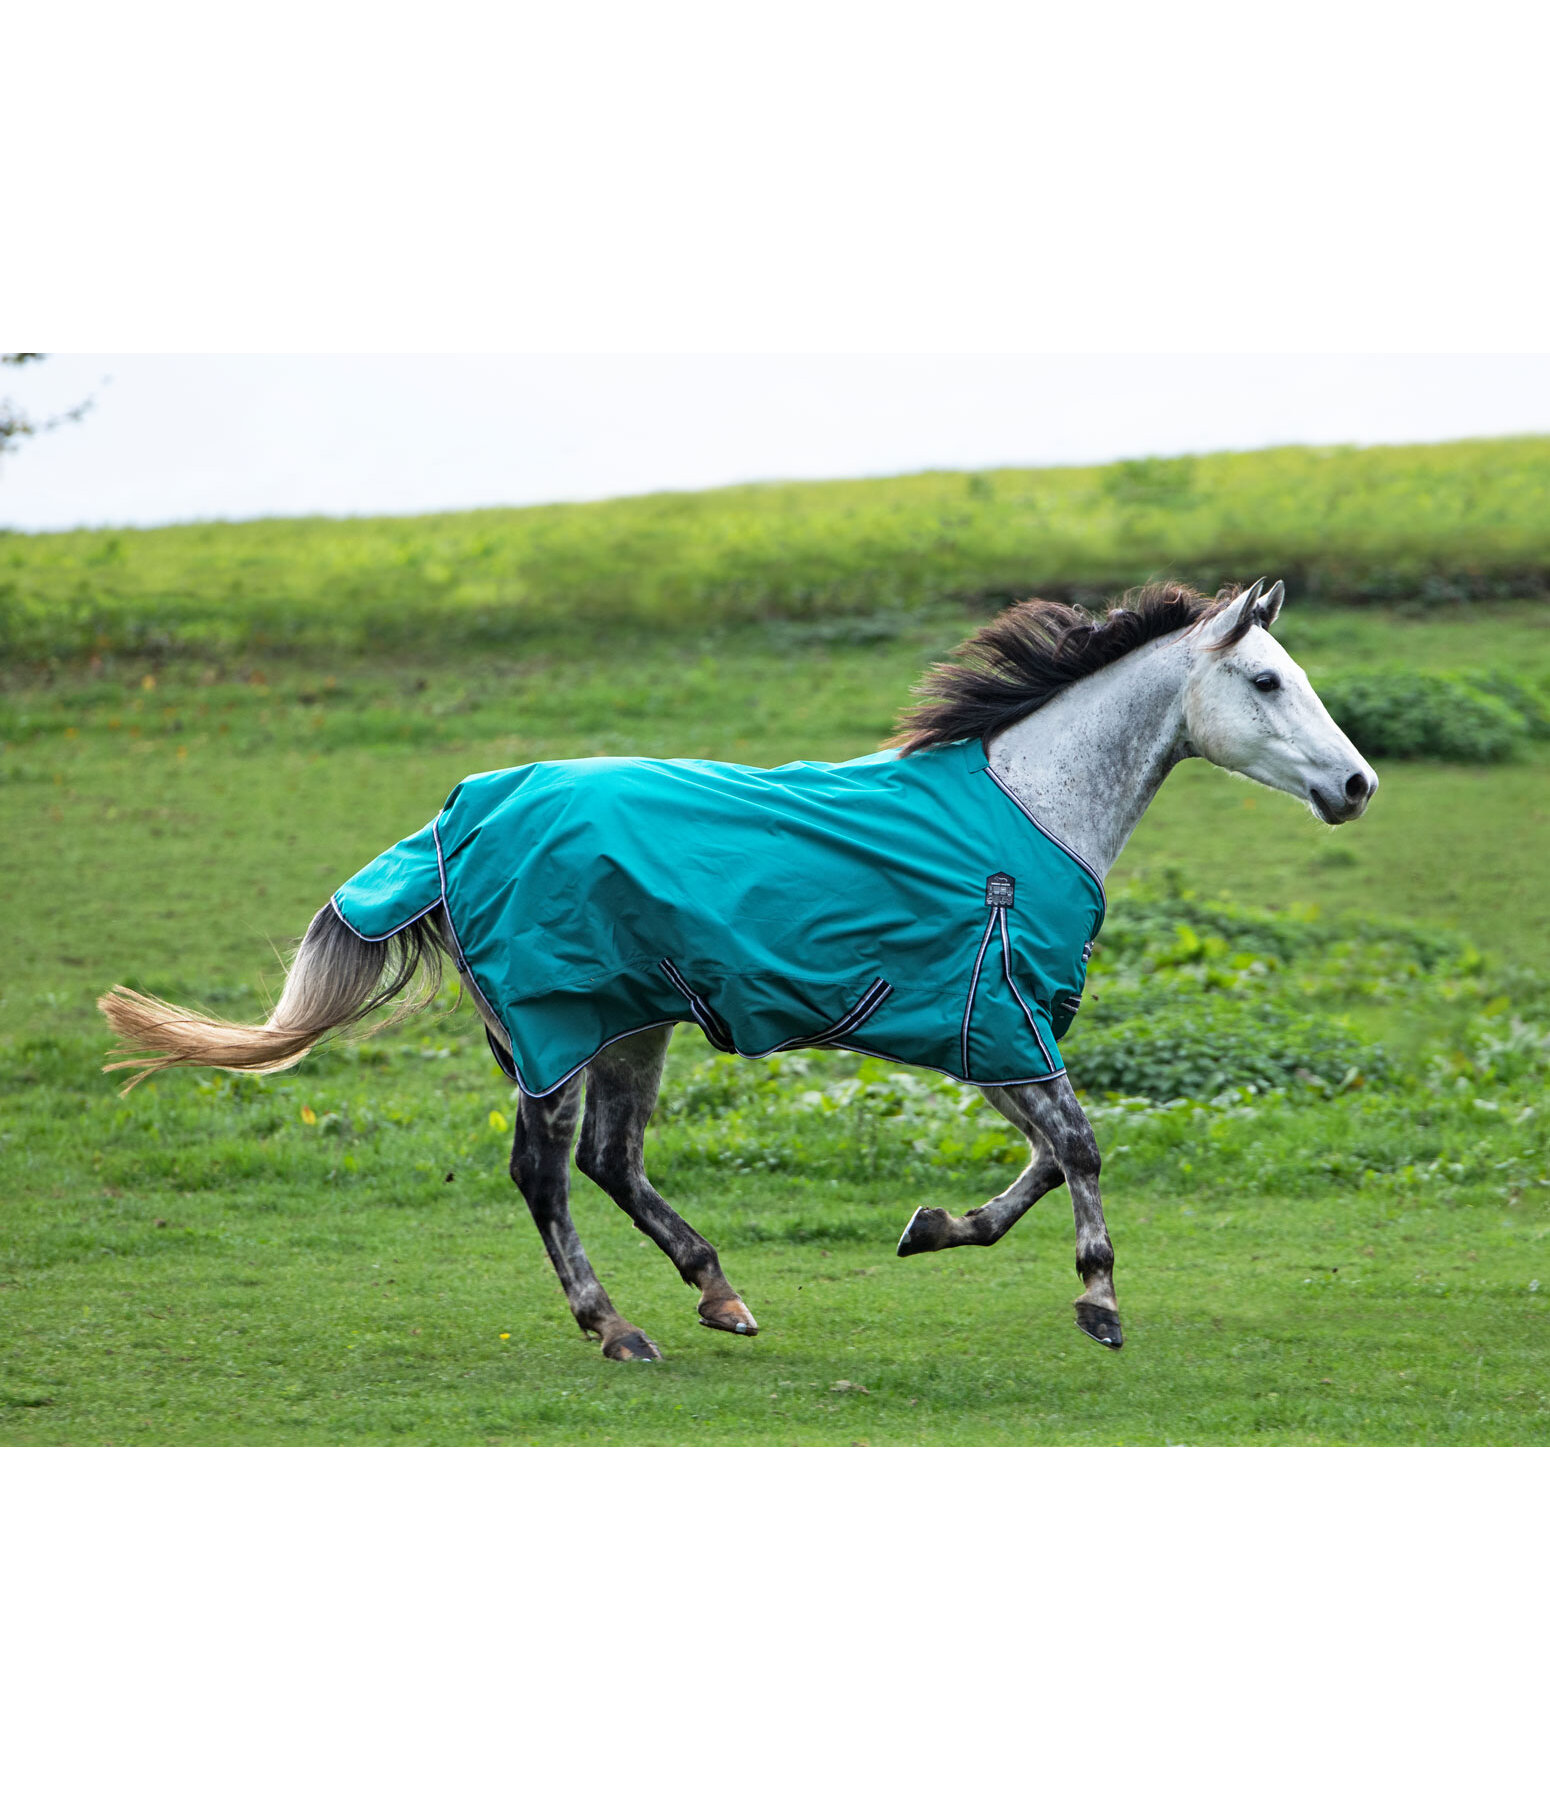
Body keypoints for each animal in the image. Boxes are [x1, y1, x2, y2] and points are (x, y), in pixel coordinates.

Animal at [98, 578, 1376, 1359]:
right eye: (1265, 681)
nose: (1356, 784)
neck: (1028, 809)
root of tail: (453, 815)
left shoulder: (984, 1029)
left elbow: (1046, 1158)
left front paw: (932, 1226)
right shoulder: (994, 1019)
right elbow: (1077, 1144)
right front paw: (1097, 1300)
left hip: (630, 1022)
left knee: (610, 1163)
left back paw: (717, 1290)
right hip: (553, 1031)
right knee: (545, 1175)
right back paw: (617, 1327)